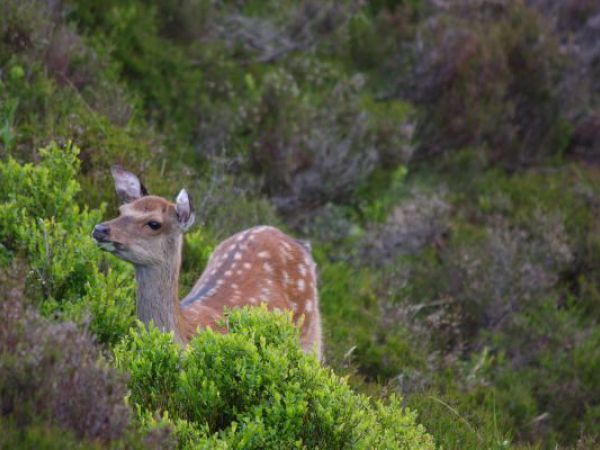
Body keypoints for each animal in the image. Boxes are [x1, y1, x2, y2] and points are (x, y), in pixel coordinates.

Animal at [91, 167, 322, 360]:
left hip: (312, 340)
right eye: (121, 210)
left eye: (154, 223)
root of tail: (301, 244)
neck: (187, 337)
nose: (99, 229)